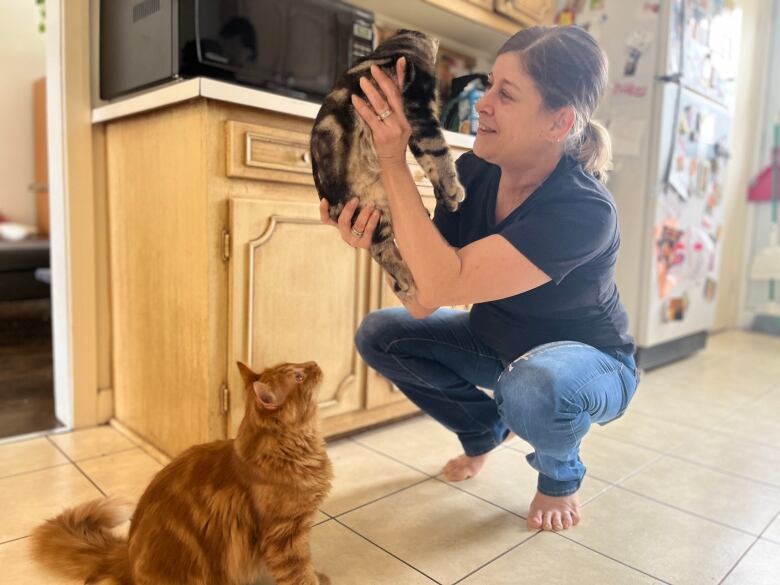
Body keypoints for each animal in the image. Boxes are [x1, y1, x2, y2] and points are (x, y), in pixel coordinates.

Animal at [31, 358, 332, 580]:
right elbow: (299, 572)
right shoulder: (284, 537)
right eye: (298, 376)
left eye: (299, 366)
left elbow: (306, 566)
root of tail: (126, 553)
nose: (315, 363)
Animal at [310, 29, 464, 298]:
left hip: (377, 210)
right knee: (379, 248)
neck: (398, 46)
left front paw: (446, 195)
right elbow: (438, 150)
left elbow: (428, 157)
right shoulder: (419, 103)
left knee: (379, 247)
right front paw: (453, 188)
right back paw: (405, 278)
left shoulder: (414, 122)